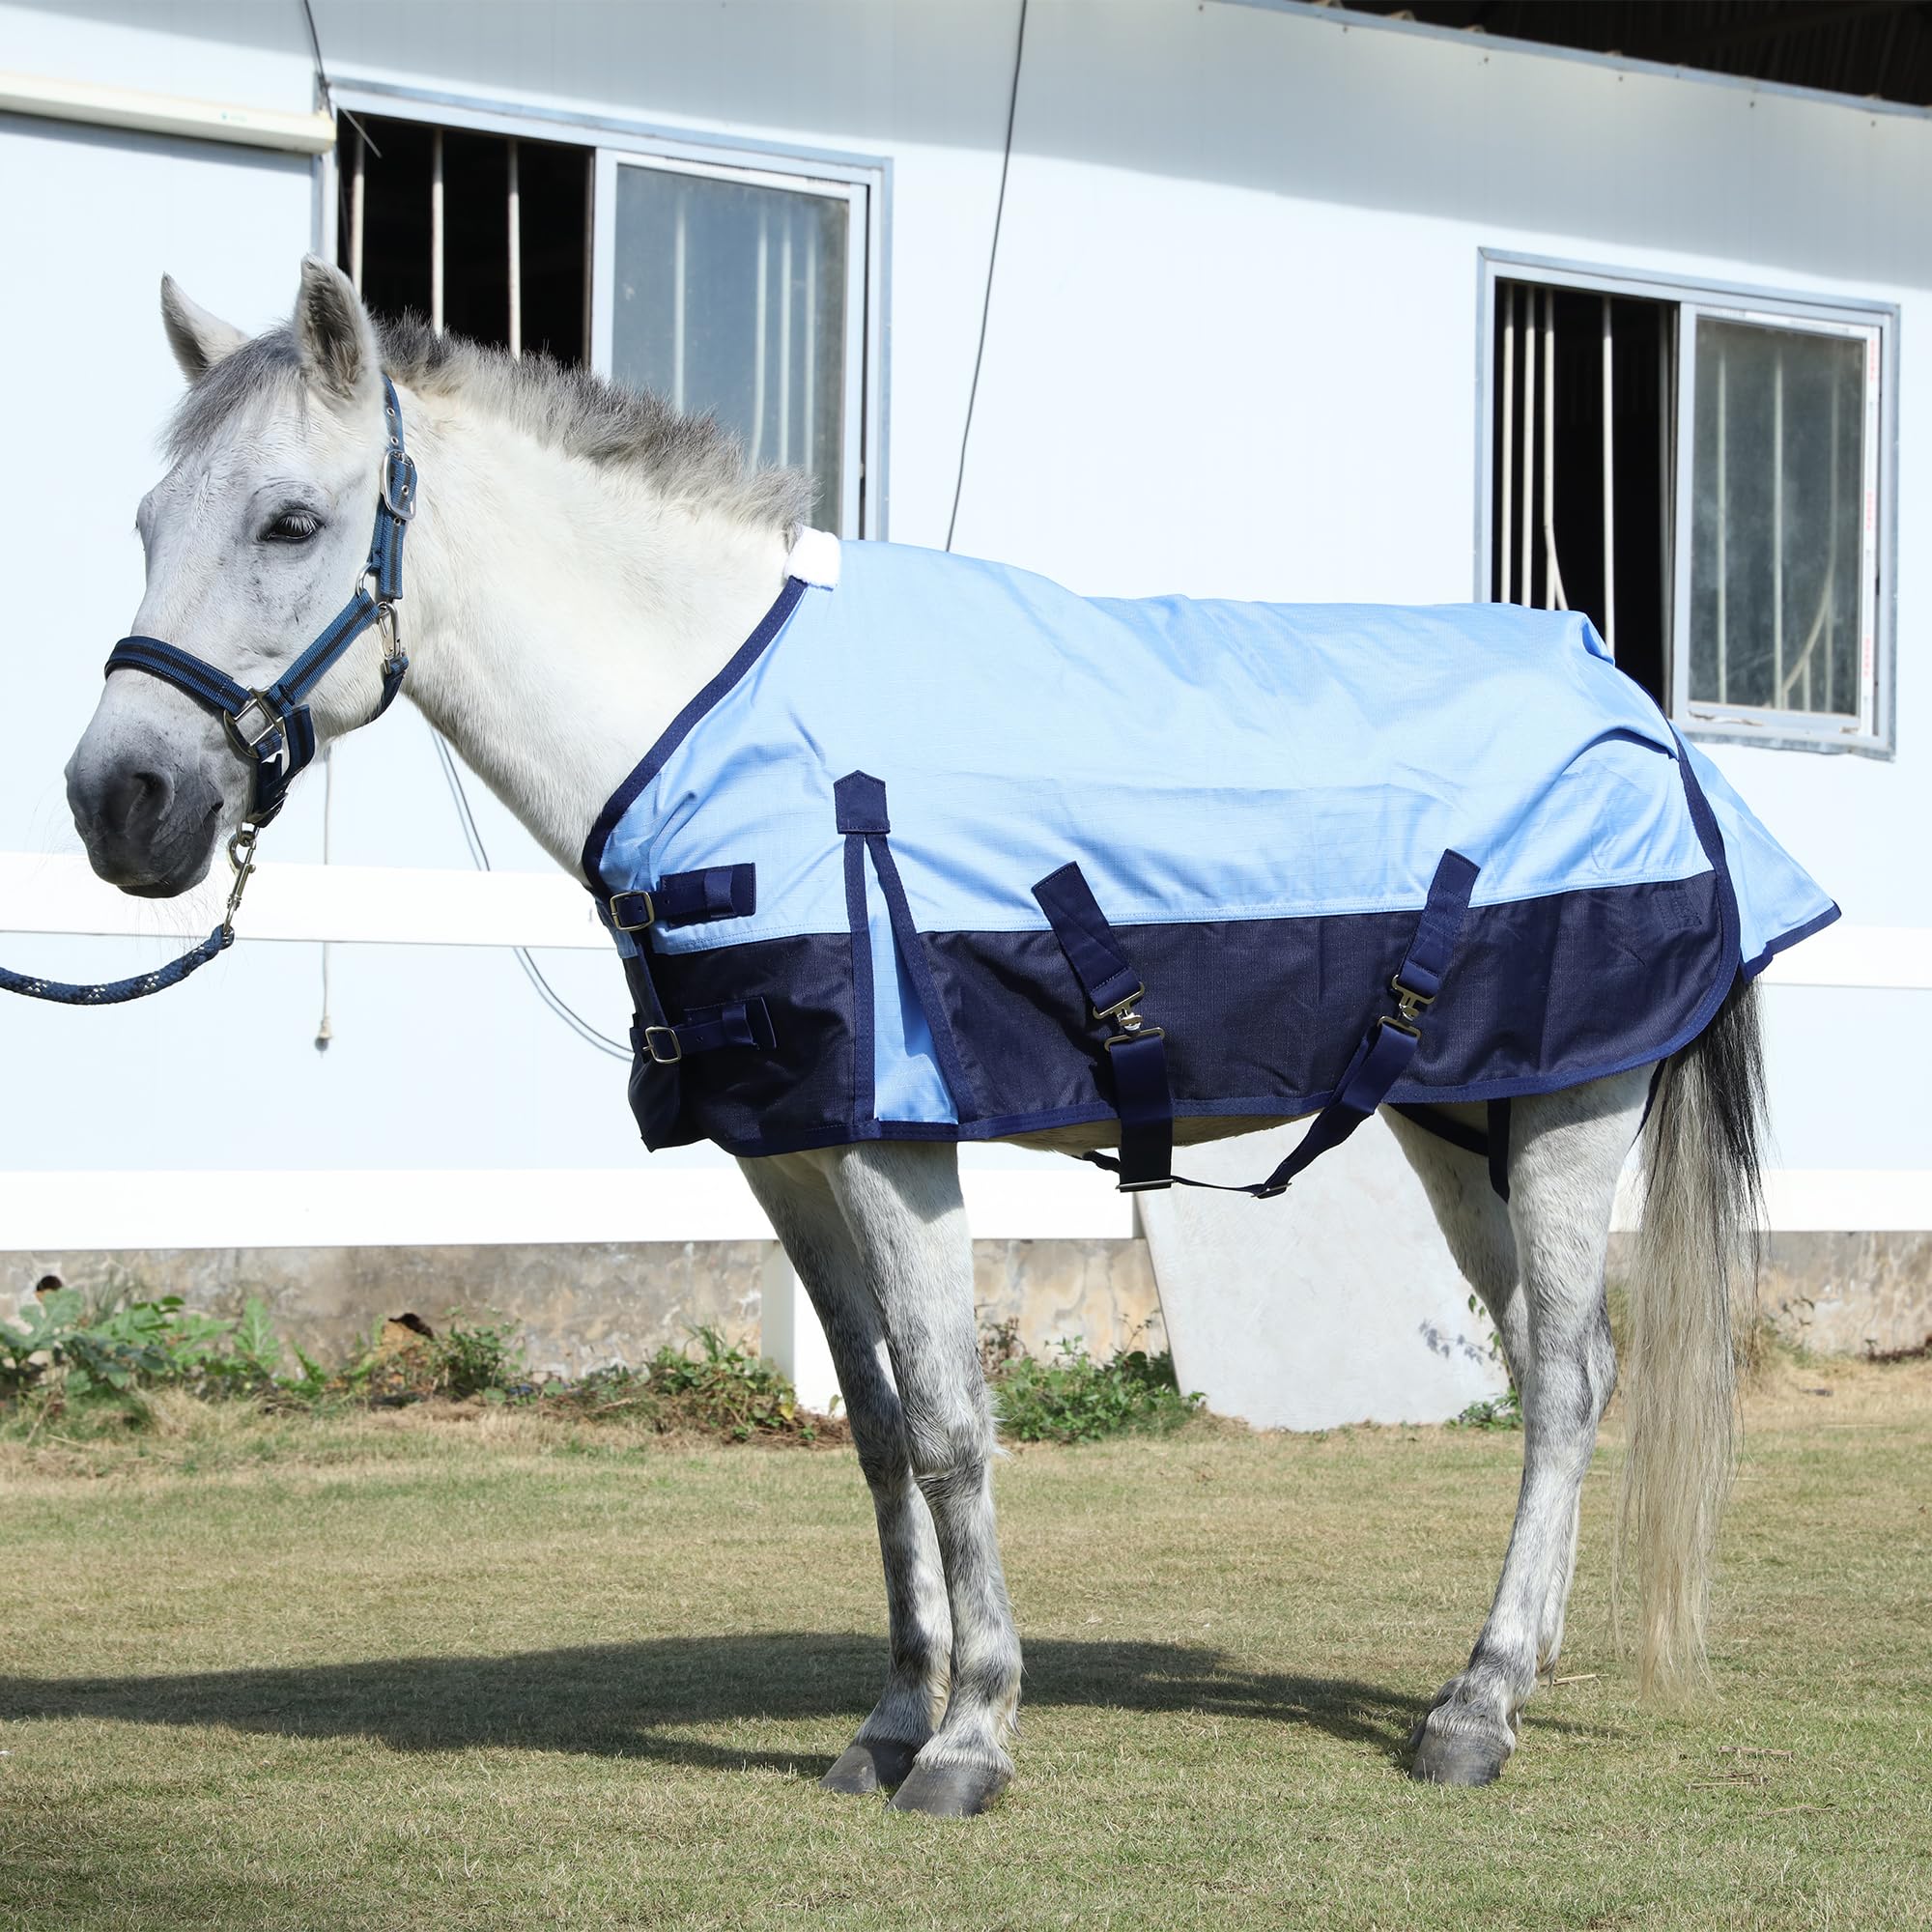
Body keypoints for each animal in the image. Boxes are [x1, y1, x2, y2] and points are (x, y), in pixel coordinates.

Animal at [63, 258, 1769, 1816]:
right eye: (145, 525)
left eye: (289, 523)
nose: (118, 801)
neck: (731, 732)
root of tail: (1634, 709)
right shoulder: (793, 1158)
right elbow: (880, 1431)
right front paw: (892, 1717)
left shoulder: (901, 1145)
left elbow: (953, 1426)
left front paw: (971, 1737)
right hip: (1461, 1123)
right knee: (1561, 1360)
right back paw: (1509, 1675)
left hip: (1573, 1118)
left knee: (1565, 1383)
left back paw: (1474, 1709)